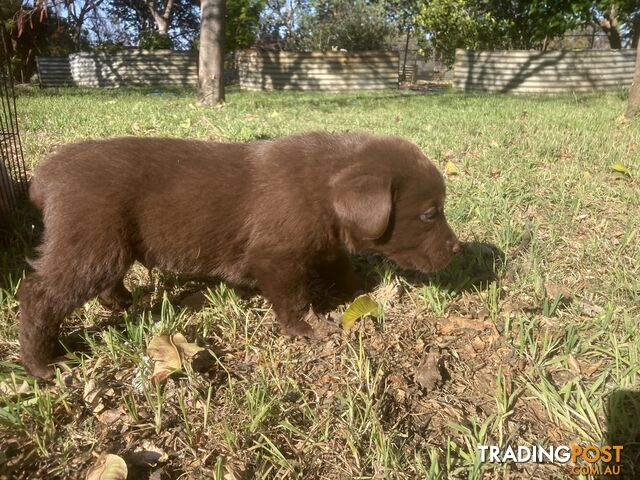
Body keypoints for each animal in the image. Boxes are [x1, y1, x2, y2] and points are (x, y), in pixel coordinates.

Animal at [18, 132, 460, 378]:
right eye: (430, 213)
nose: (456, 248)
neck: (322, 187)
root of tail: (45, 176)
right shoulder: (276, 258)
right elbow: (293, 297)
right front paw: (306, 329)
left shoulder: (324, 243)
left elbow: (340, 268)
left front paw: (359, 290)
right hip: (91, 238)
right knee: (40, 293)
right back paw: (41, 365)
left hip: (105, 241)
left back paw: (121, 301)